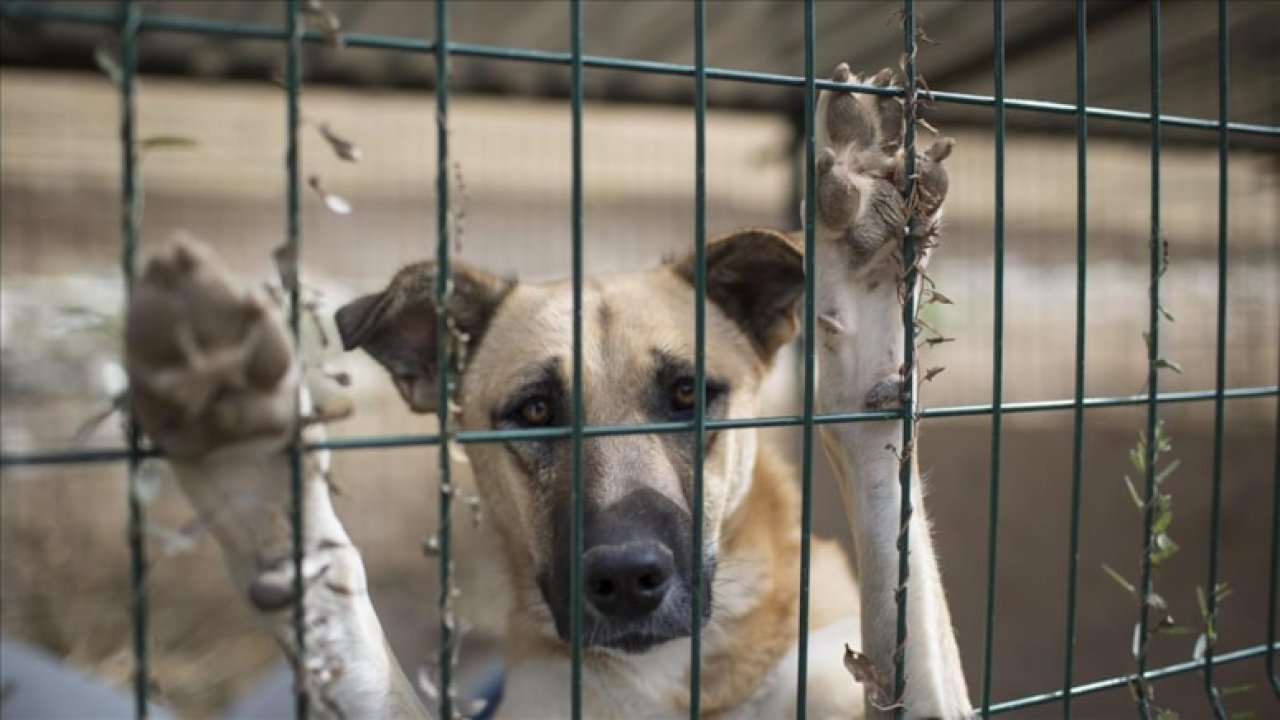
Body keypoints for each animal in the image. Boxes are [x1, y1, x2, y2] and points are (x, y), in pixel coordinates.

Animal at [127, 67, 967, 717]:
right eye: (534, 411)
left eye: (687, 394)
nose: (627, 581)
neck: (672, 676)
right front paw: (254, 476)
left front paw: (862, 292)